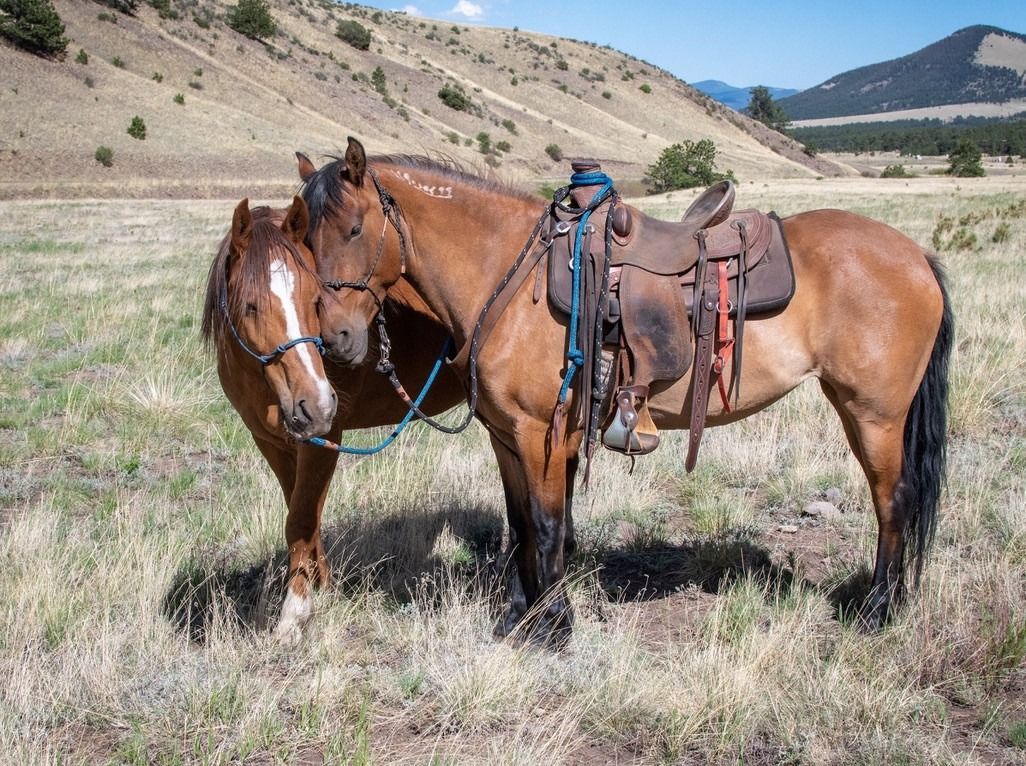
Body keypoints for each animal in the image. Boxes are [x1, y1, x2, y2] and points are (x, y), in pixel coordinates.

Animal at [201, 196, 464, 644]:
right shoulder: (273, 442)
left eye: (314, 300)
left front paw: (295, 612)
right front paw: (322, 585)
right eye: (250, 305)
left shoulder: (324, 440)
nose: (317, 404)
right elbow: (303, 514)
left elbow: (301, 518)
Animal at [300, 137, 952, 645]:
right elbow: (520, 525)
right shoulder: (508, 438)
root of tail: (916, 254)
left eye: (354, 229)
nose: (336, 339)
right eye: (305, 240)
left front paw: (554, 626)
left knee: (893, 501)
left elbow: (546, 526)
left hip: (873, 414)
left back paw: (878, 610)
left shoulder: (540, 436)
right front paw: (517, 617)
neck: (507, 278)